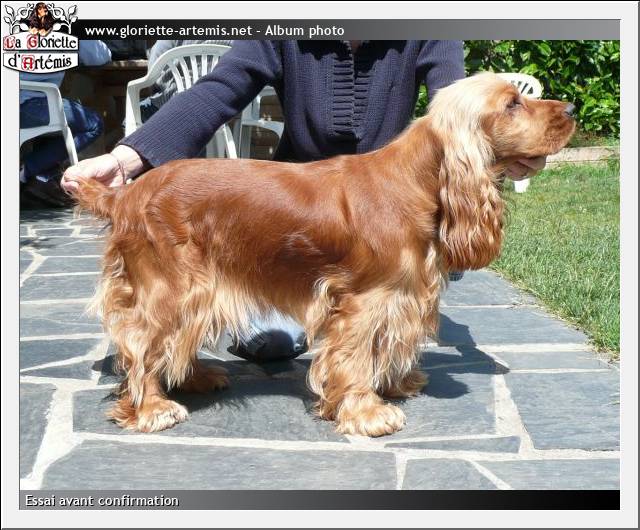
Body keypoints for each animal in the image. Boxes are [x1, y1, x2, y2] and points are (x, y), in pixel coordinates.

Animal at [73, 72, 575, 436]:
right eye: (512, 104)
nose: (571, 109)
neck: (415, 179)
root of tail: (127, 196)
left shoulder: (403, 294)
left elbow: (387, 345)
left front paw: (396, 385)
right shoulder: (364, 300)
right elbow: (355, 356)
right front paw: (368, 413)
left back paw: (195, 377)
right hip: (172, 285)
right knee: (140, 344)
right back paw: (153, 407)